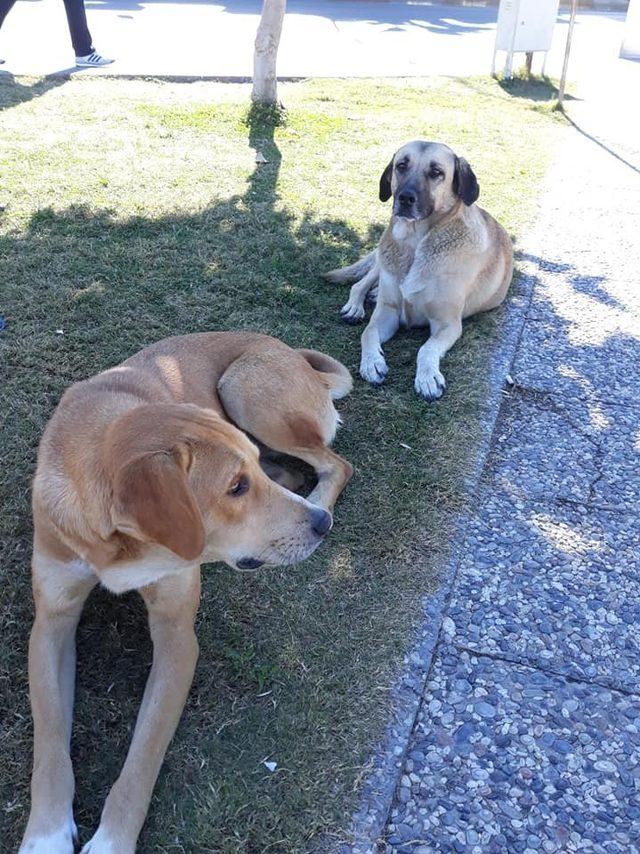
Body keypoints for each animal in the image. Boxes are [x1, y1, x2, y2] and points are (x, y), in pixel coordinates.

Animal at [20, 332, 352, 854]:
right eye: (235, 486)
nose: (322, 526)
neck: (120, 548)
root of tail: (289, 352)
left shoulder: (177, 636)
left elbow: (142, 759)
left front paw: (111, 841)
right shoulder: (51, 624)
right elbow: (50, 743)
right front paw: (46, 834)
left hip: (243, 388)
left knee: (338, 463)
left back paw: (316, 492)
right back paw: (302, 489)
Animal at [328, 143, 512, 402]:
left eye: (436, 172)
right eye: (401, 165)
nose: (405, 198)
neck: (416, 242)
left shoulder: (448, 324)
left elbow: (426, 349)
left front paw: (427, 378)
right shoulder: (388, 313)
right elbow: (368, 332)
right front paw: (371, 362)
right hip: (382, 259)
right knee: (360, 283)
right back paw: (355, 306)